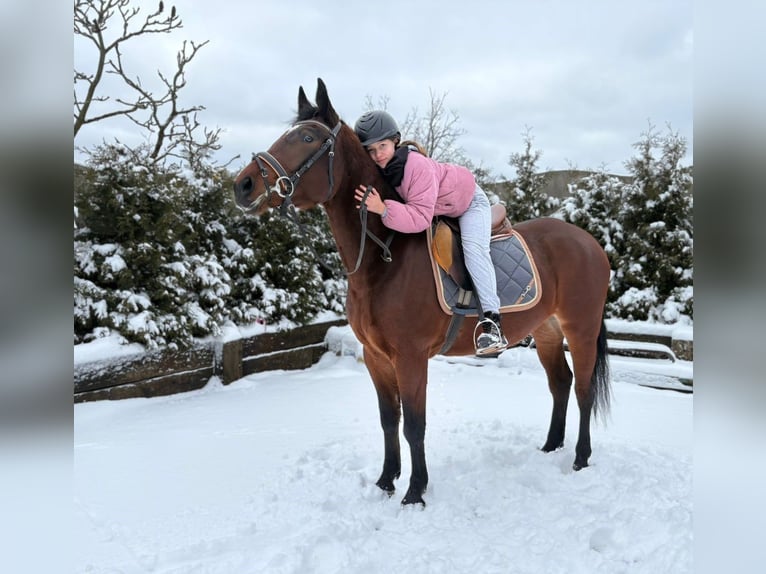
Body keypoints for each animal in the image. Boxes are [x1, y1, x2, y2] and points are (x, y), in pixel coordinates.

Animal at [232, 77, 612, 508]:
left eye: (308, 137)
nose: (243, 185)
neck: (385, 255)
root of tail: (590, 243)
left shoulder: (411, 357)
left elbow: (414, 424)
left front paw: (415, 492)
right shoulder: (377, 357)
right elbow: (389, 420)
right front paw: (386, 481)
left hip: (580, 329)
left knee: (582, 389)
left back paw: (580, 458)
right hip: (547, 329)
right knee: (560, 383)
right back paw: (550, 446)